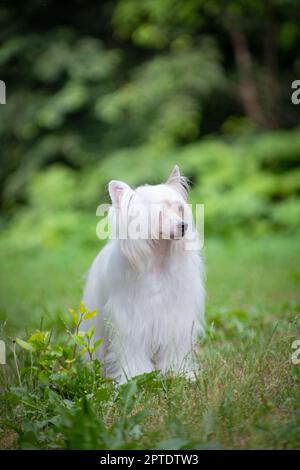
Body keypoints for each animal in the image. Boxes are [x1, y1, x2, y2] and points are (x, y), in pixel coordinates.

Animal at [82, 165, 204, 382]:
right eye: (159, 213)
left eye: (179, 208)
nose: (183, 225)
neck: (158, 260)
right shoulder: (130, 322)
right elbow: (132, 353)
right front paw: (136, 377)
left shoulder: (175, 319)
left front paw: (178, 373)